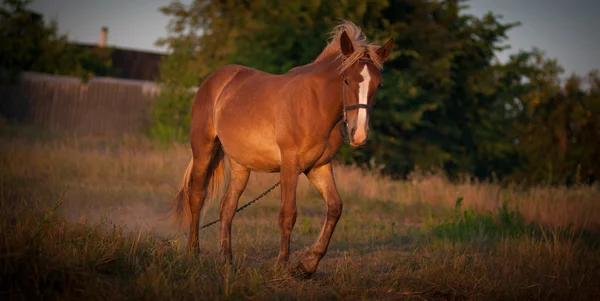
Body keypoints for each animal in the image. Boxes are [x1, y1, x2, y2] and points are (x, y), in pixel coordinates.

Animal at [170, 19, 394, 276]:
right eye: (346, 79)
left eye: (379, 83)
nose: (358, 134)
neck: (315, 103)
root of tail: (215, 81)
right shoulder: (290, 164)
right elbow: (288, 213)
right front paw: (282, 265)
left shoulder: (318, 167)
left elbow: (335, 207)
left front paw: (308, 263)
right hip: (203, 150)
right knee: (197, 197)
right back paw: (193, 254)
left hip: (240, 165)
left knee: (227, 207)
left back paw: (227, 261)